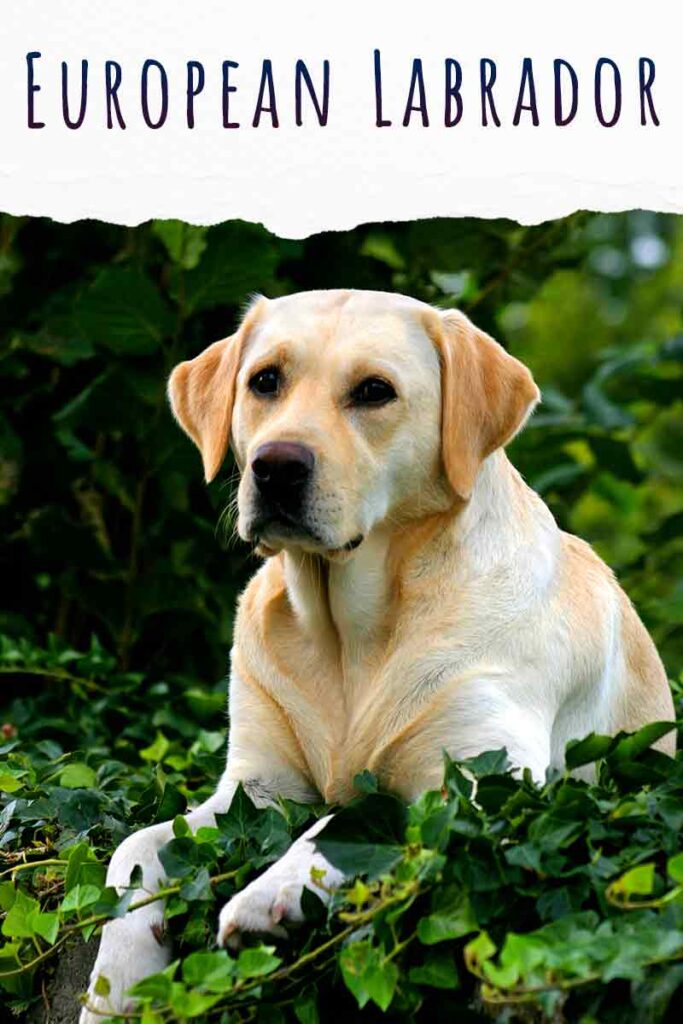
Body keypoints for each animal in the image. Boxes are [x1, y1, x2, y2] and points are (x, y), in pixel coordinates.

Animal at [81, 290, 671, 1024]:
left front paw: (268, 893)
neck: (349, 633)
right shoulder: (254, 791)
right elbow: (133, 847)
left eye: (374, 391)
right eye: (265, 381)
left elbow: (352, 813)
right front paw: (113, 987)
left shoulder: (489, 778)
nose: (276, 466)